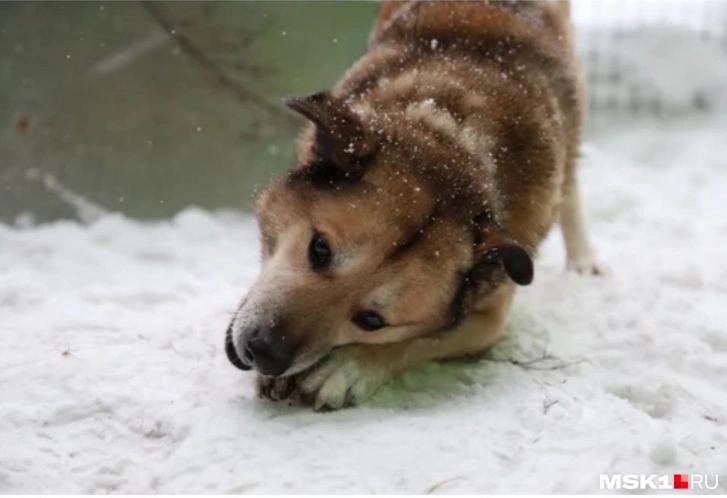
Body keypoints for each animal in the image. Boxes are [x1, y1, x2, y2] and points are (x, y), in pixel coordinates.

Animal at [226, 0, 604, 408]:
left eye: (372, 321)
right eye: (320, 249)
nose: (263, 352)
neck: (450, 136)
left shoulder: (490, 315)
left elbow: (422, 340)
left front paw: (347, 368)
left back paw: (584, 260)